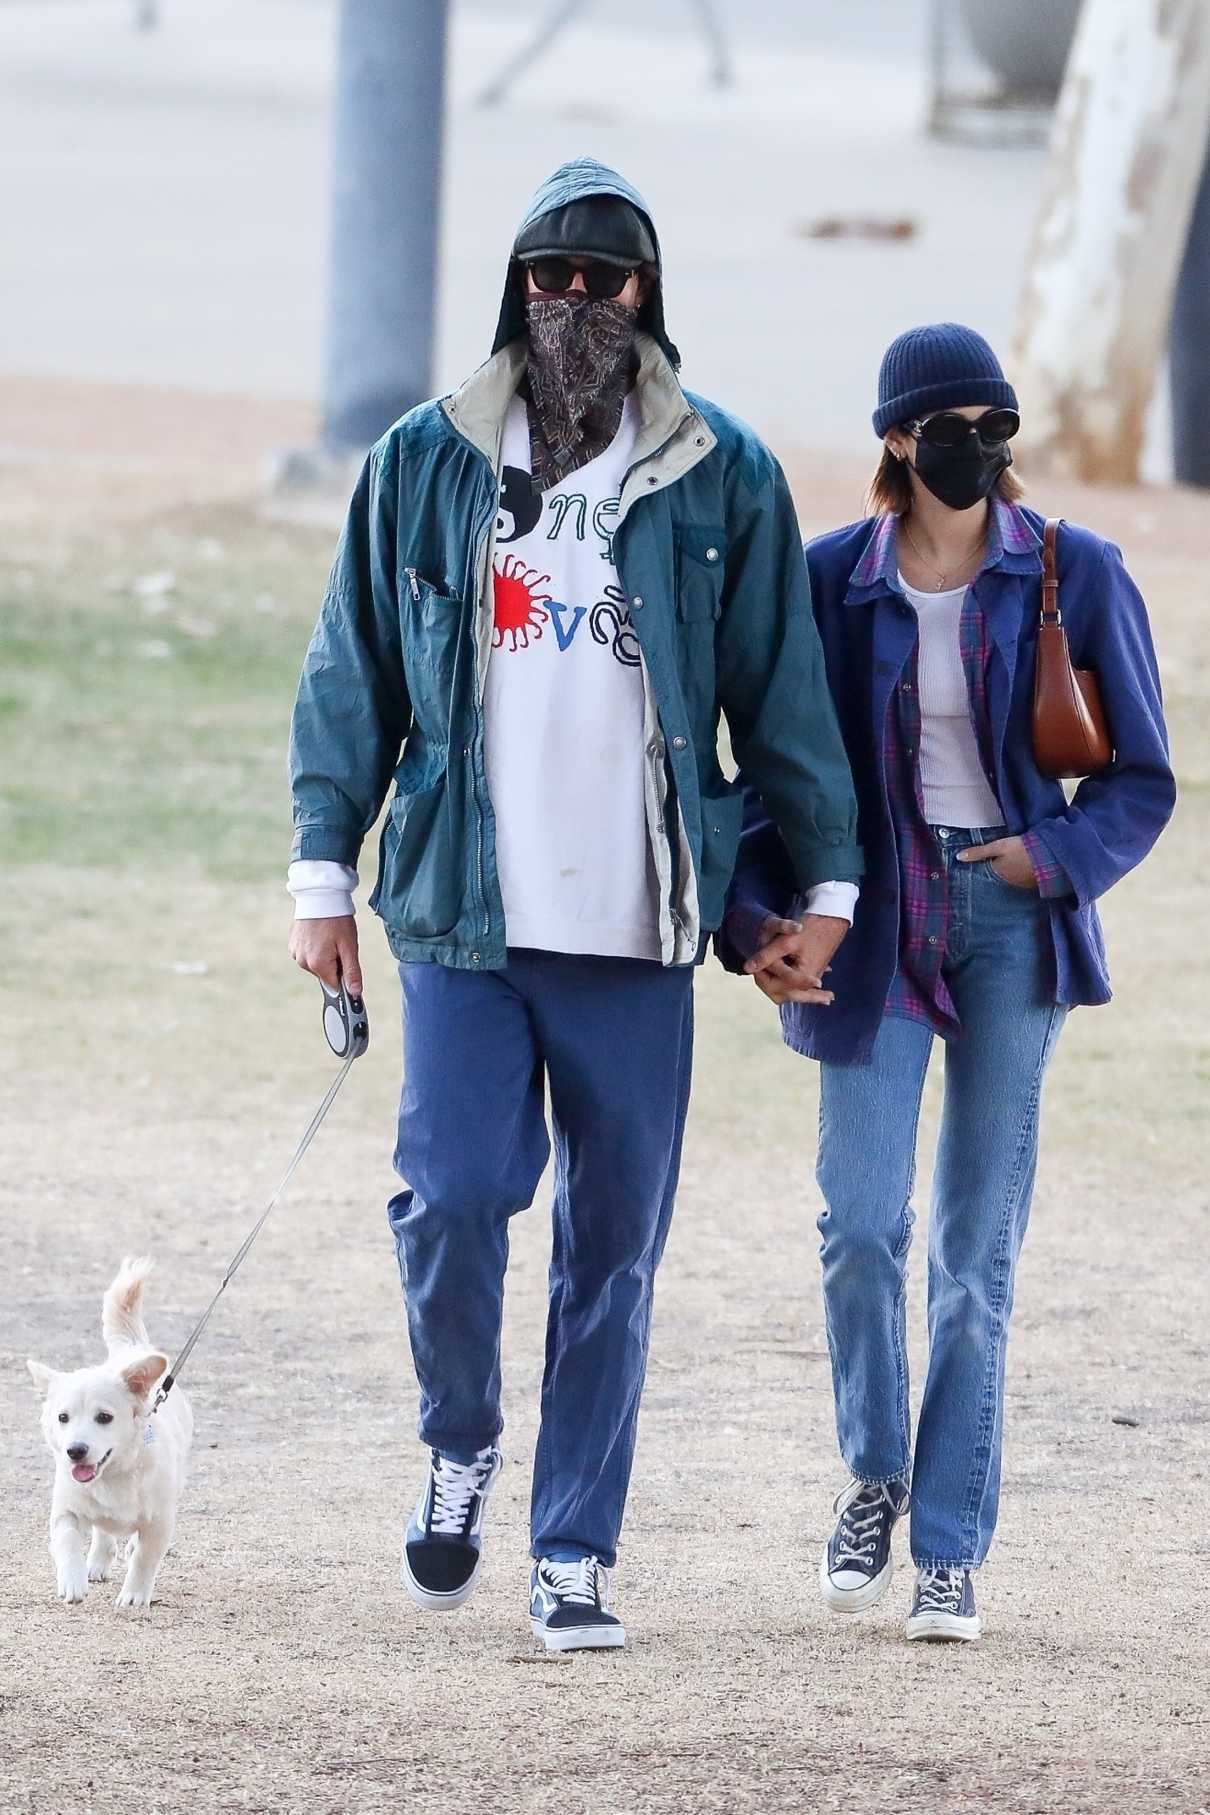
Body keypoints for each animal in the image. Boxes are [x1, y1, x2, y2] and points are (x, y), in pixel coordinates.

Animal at [28, 1255, 193, 1611]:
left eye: (104, 1417)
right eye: (63, 1417)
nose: (75, 1450)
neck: (113, 1476)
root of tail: (131, 1349)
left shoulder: (159, 1522)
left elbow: (145, 1557)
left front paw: (135, 1594)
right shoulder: (65, 1512)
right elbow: (66, 1542)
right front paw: (72, 1580)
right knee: (103, 1533)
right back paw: (95, 1564)